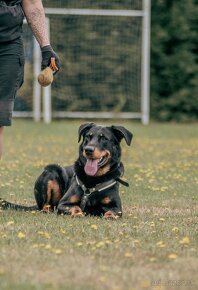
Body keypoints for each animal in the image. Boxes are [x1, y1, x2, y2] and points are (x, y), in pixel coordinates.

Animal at [0, 123, 133, 220]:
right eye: (88, 137)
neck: (94, 179)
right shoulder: (64, 203)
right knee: (45, 206)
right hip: (51, 171)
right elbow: (75, 207)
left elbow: (114, 211)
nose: (88, 149)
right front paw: (78, 213)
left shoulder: (116, 206)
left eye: (104, 138)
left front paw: (109, 216)